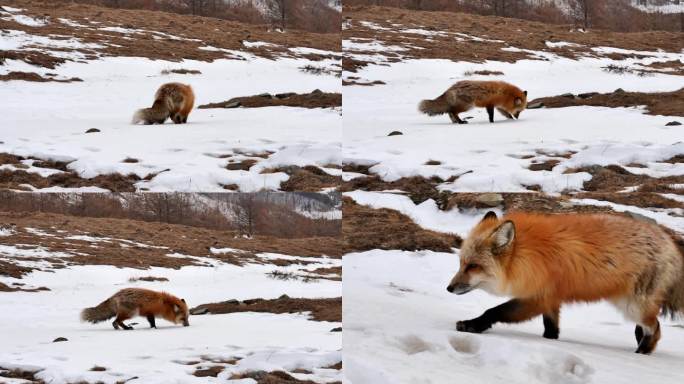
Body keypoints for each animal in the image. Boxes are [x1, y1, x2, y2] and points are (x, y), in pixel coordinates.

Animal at [446, 212, 680, 356]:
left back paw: (641, 352)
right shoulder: (551, 298)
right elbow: (551, 327)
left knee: (655, 328)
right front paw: (550, 341)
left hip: (632, 306)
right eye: (461, 263)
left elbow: (494, 311)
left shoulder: (537, 297)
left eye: (473, 266)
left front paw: (472, 325)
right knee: (648, 327)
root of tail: (669, 241)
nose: (449, 288)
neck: (527, 256)